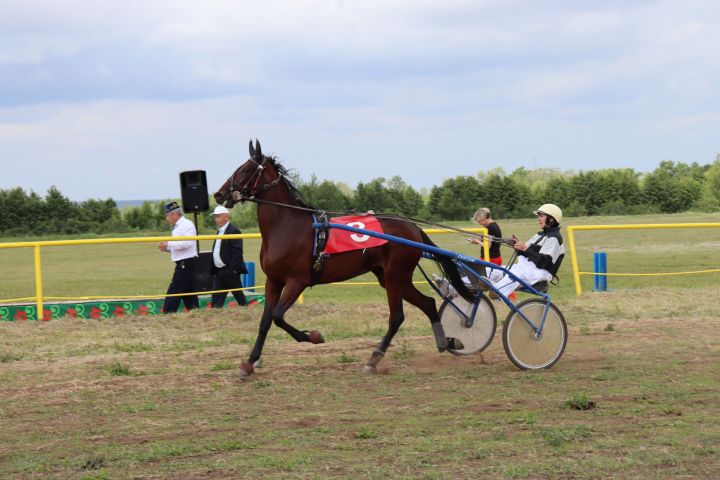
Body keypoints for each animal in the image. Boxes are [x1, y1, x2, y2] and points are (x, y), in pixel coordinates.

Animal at [214, 139, 472, 376]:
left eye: (247, 169)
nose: (219, 194)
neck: (287, 226)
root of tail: (412, 226)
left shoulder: (297, 281)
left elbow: (278, 316)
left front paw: (314, 336)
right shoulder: (273, 281)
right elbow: (266, 321)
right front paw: (249, 363)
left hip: (395, 275)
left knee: (397, 317)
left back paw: (374, 358)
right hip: (392, 276)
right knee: (427, 303)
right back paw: (446, 341)